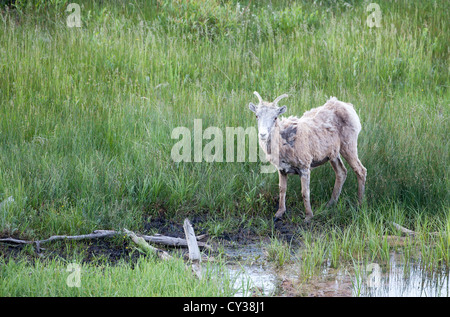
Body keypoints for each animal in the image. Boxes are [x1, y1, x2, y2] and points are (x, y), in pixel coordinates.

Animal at [248, 90, 368, 221]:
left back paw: (359, 205)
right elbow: (282, 190)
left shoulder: (304, 168)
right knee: (341, 172)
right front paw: (279, 214)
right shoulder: (282, 170)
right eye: (257, 116)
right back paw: (330, 204)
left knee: (361, 171)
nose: (263, 134)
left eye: (275, 117)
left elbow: (305, 193)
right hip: (333, 154)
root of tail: (347, 106)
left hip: (348, 147)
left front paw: (308, 217)